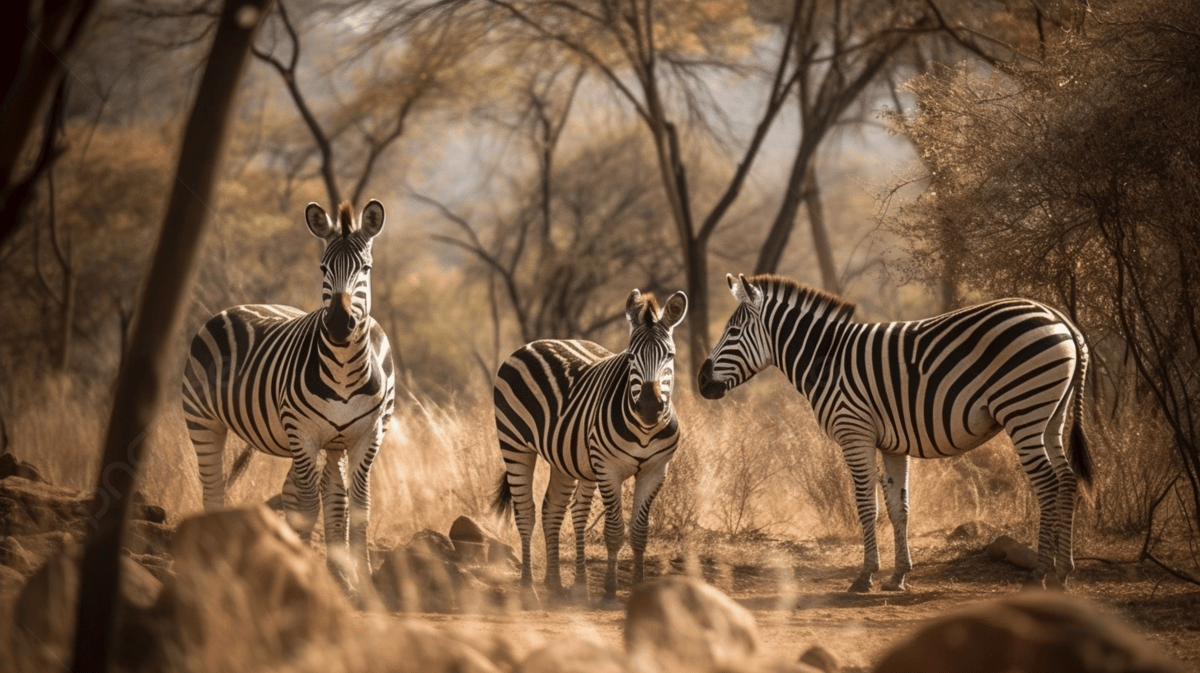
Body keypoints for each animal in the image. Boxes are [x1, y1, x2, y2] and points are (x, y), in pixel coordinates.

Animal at [181, 200, 395, 600]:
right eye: (323, 268)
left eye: (366, 268)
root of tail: (235, 306)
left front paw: (363, 585)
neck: (345, 368)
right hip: (203, 422)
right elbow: (309, 507)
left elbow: (358, 507)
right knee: (214, 490)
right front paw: (305, 578)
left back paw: (339, 575)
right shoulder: (303, 433)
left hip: (333, 442)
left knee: (334, 499)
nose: (339, 324)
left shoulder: (367, 435)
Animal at [493, 289, 687, 602]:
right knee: (526, 512)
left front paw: (638, 588)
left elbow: (639, 533)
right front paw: (609, 591)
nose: (649, 407)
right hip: (514, 443)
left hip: (566, 457)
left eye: (669, 355)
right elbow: (614, 531)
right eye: (631, 356)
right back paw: (528, 588)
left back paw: (559, 584)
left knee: (555, 509)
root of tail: (537, 341)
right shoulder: (608, 469)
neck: (644, 430)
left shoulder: (655, 471)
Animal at [697, 273, 1093, 592]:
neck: (826, 359)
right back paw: (1063, 572)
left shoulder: (855, 433)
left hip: (1023, 409)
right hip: (1051, 415)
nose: (701, 383)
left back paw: (1039, 574)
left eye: (733, 332)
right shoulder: (892, 444)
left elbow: (866, 506)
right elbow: (898, 508)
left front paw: (865, 576)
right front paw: (899, 576)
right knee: (1067, 479)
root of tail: (1060, 318)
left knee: (1048, 483)